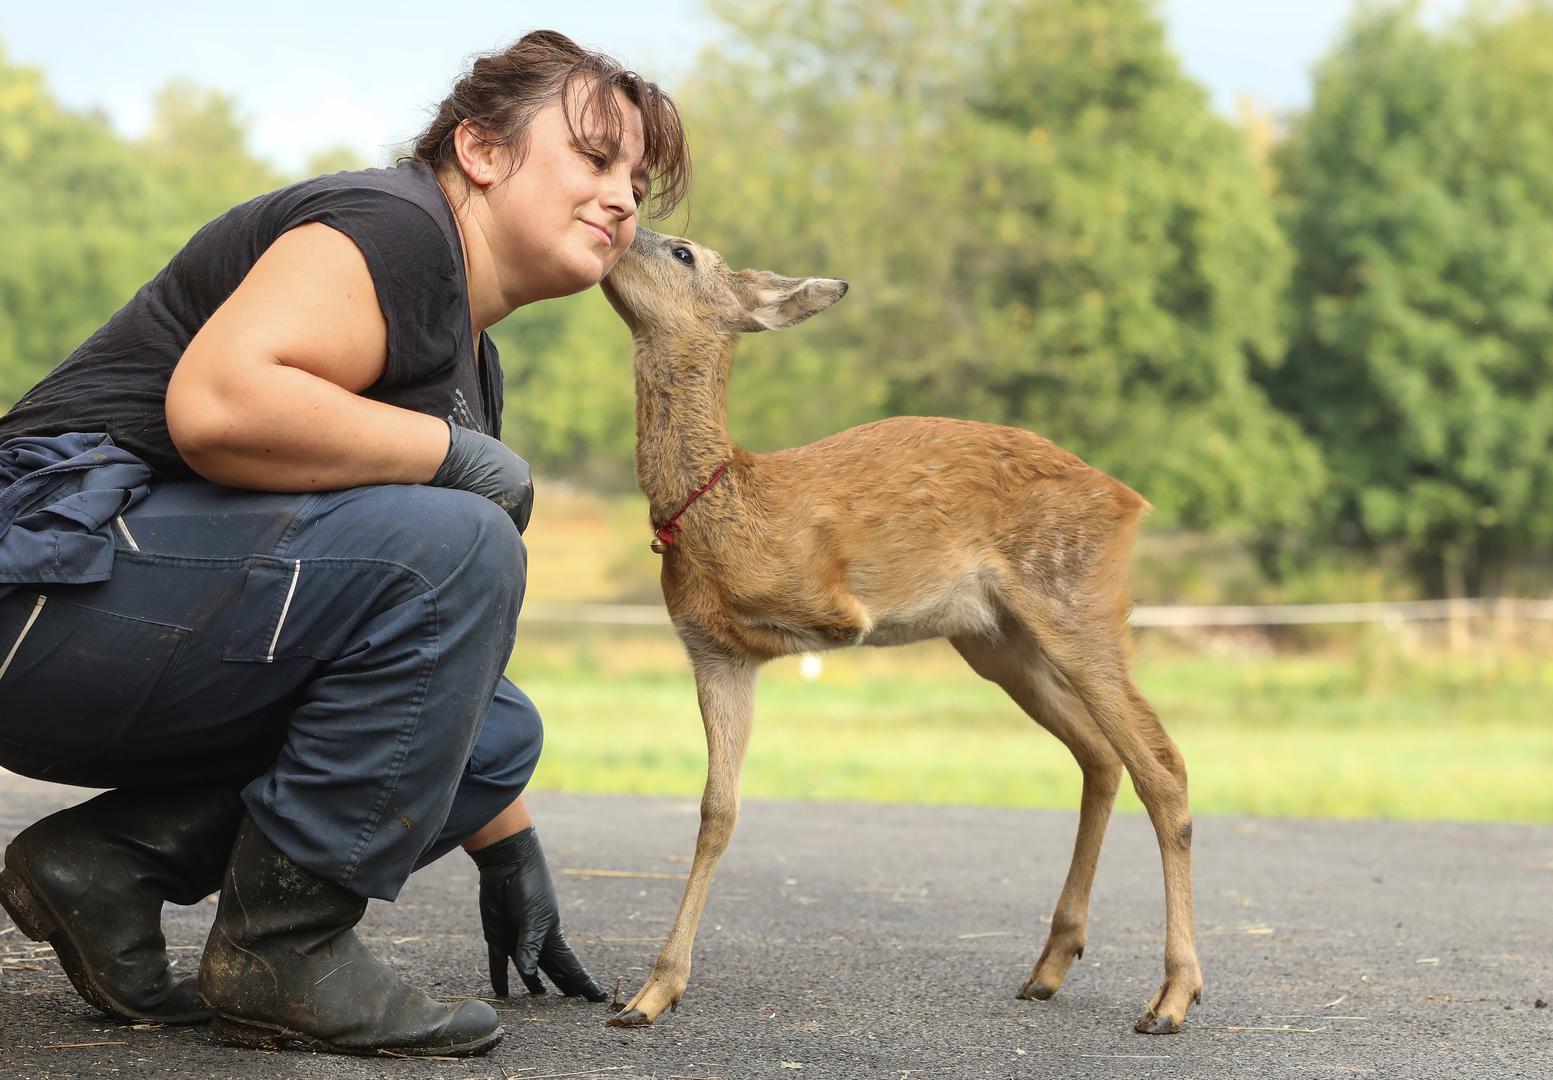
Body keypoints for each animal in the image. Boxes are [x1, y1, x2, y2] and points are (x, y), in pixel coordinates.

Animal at [593, 228, 1198, 1038]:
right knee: (1100, 756)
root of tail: (1130, 499)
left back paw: (1172, 996)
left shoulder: (828, 609)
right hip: (999, 641)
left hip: (1076, 600)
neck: (731, 503)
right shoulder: (714, 652)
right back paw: (1049, 966)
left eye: (683, 251)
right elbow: (717, 810)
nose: (621, 227)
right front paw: (652, 993)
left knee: (1160, 766)